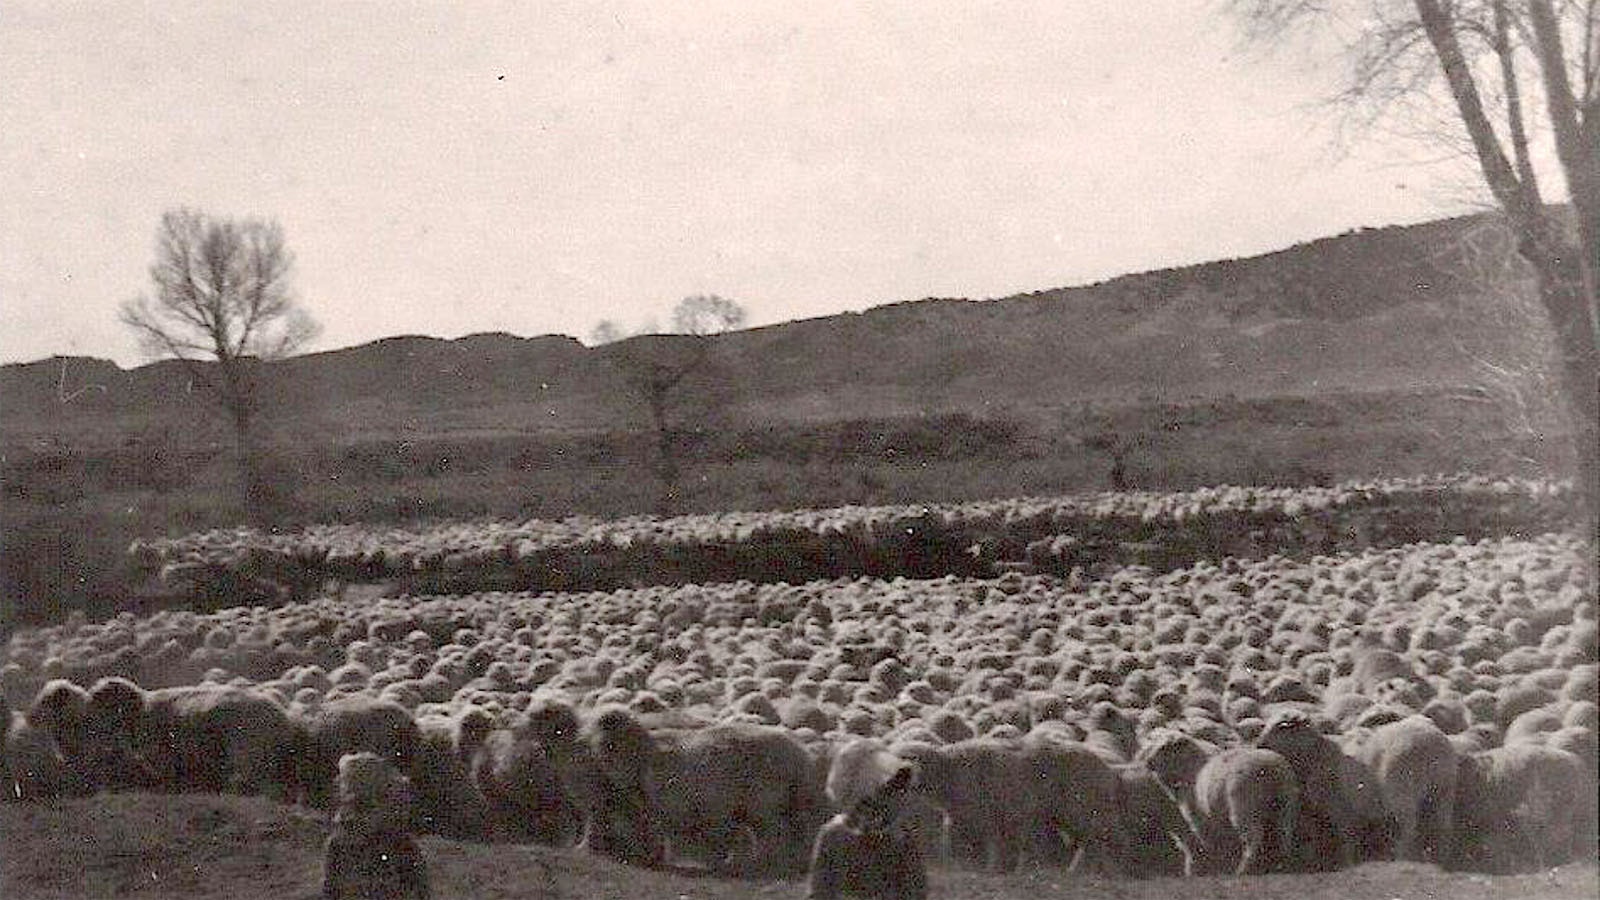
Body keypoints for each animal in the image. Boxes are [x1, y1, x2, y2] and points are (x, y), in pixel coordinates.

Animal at [1139, 730, 1299, 871]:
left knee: (1254, 836)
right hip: (1285, 806)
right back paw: (1283, 861)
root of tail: (1271, 767)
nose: (1148, 762)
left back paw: (1243, 868)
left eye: (1164, 747)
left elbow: (1207, 840)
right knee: (1284, 832)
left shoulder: (1198, 817)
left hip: (1243, 807)